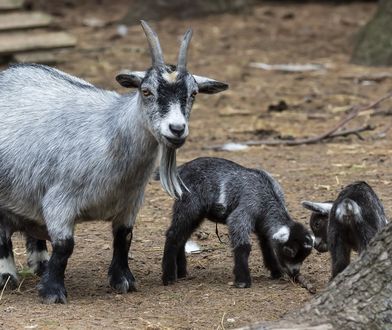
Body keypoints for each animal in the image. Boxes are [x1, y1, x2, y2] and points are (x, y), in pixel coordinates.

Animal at [0, 21, 228, 304]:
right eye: (146, 91)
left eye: (193, 93)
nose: (176, 129)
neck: (111, 132)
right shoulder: (59, 200)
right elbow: (65, 246)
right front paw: (53, 291)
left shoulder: (130, 202)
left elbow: (124, 238)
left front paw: (123, 281)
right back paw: (7, 276)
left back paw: (40, 264)